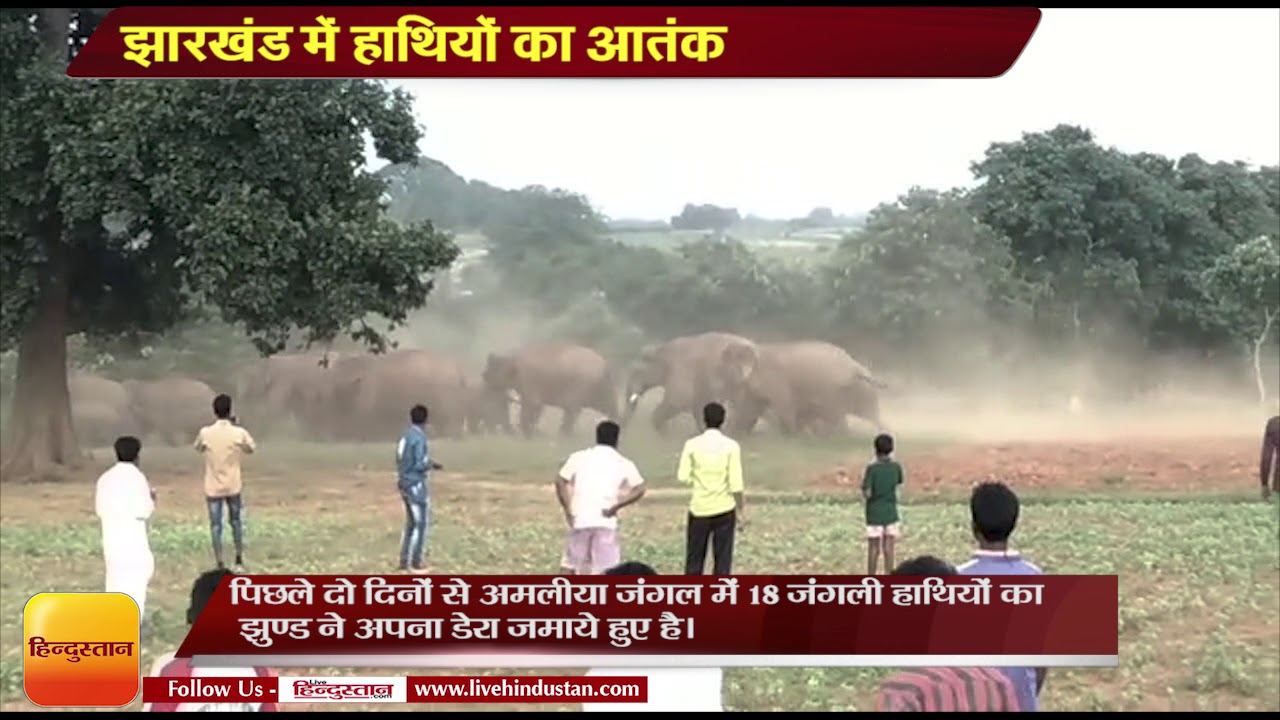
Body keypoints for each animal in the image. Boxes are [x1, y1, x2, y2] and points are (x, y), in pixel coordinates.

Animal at [483, 343, 620, 437]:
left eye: (494, 365)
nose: (483, 375)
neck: (512, 358)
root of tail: (605, 364)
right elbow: (536, 408)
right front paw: (532, 433)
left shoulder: (528, 380)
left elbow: (532, 405)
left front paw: (527, 434)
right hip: (602, 388)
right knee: (608, 406)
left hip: (582, 385)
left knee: (572, 410)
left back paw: (564, 436)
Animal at [621, 332, 758, 436]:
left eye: (637, 372)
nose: (624, 428)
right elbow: (699, 406)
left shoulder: (683, 371)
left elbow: (677, 401)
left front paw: (664, 435)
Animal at [716, 340, 886, 437]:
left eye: (726, 367)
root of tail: (855, 366)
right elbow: (749, 408)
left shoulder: (777, 381)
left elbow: (784, 406)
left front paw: (792, 436)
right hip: (861, 391)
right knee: (869, 414)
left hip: (833, 391)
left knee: (837, 417)